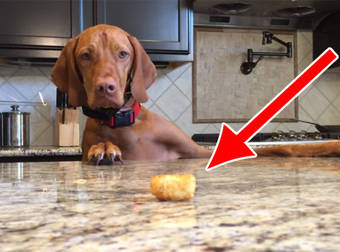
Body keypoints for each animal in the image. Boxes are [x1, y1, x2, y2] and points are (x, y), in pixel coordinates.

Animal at [51, 24, 340, 163]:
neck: (122, 121)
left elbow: (285, 148)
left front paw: (330, 145)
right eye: (85, 55)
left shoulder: (199, 152)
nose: (105, 88)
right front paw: (105, 147)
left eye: (123, 53)